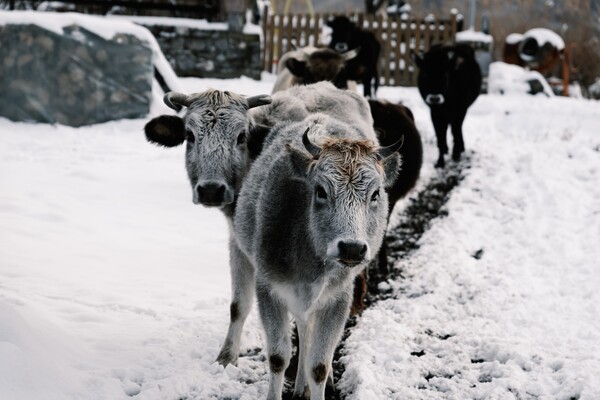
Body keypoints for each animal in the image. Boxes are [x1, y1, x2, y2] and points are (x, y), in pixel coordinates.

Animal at [234, 101, 404, 398]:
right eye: (321, 190)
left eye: (375, 194)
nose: (351, 248)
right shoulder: (268, 289)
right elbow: (278, 357)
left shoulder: (338, 298)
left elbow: (320, 365)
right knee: (303, 329)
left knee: (308, 333)